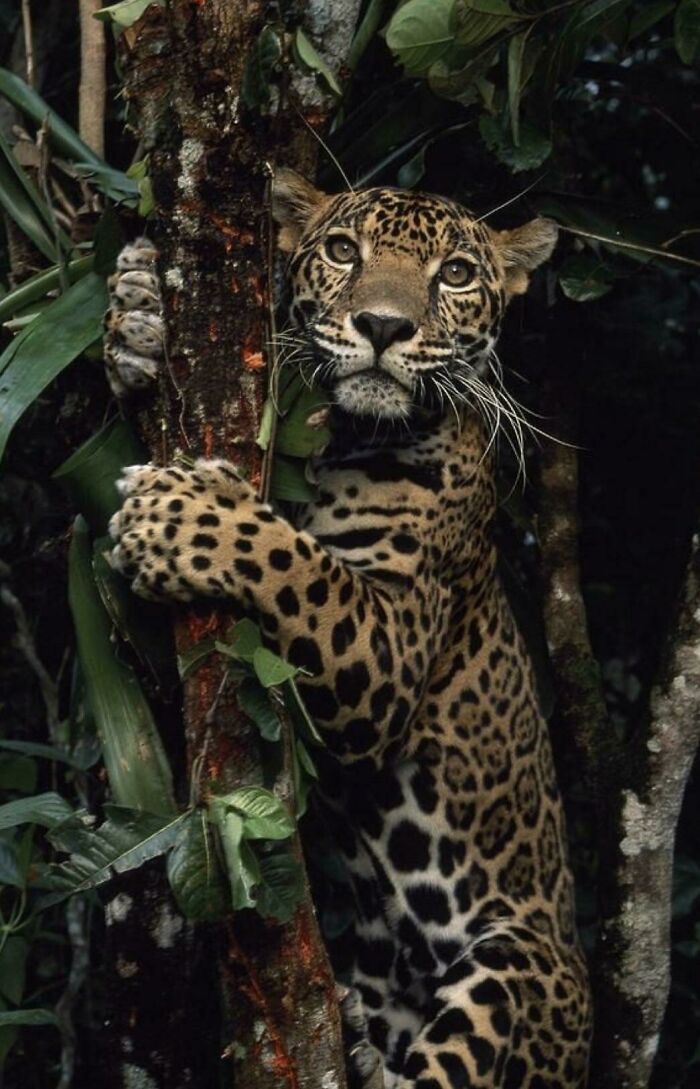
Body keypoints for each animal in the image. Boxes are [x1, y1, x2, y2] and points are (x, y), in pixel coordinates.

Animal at [106, 169, 592, 1089]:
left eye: (456, 274)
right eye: (341, 251)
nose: (384, 326)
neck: (339, 440)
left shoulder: (390, 639)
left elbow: (289, 557)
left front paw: (179, 511)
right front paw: (137, 307)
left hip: (522, 966)